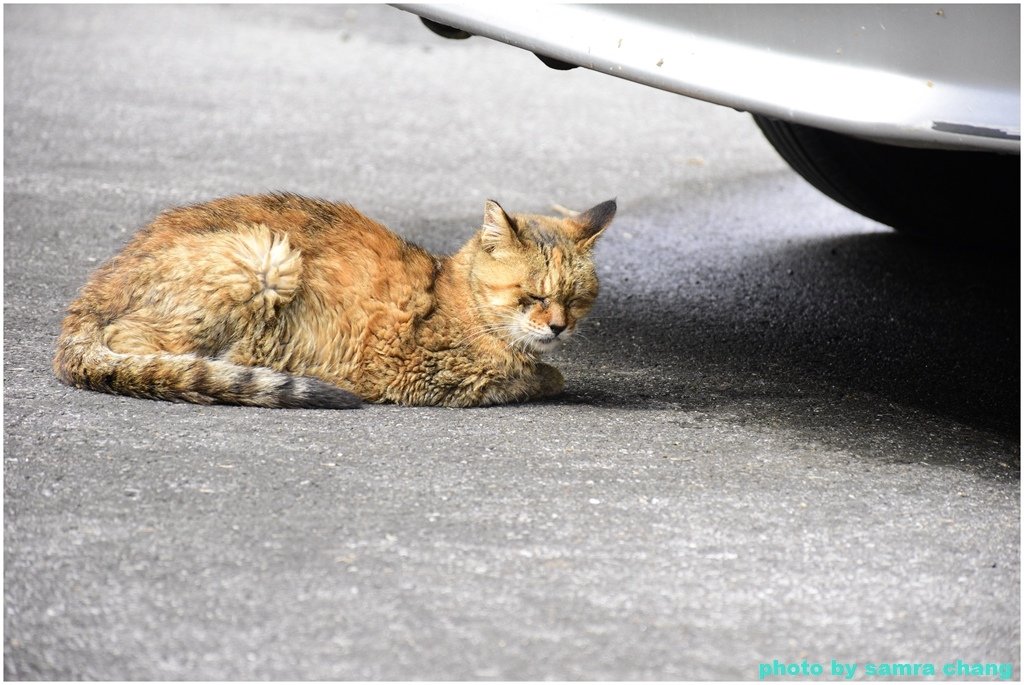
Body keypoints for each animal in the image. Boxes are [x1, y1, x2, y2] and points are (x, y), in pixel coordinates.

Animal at [54, 192, 614, 405]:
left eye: (575, 299)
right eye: (532, 295)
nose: (558, 327)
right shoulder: (431, 371)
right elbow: (546, 376)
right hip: (265, 260)